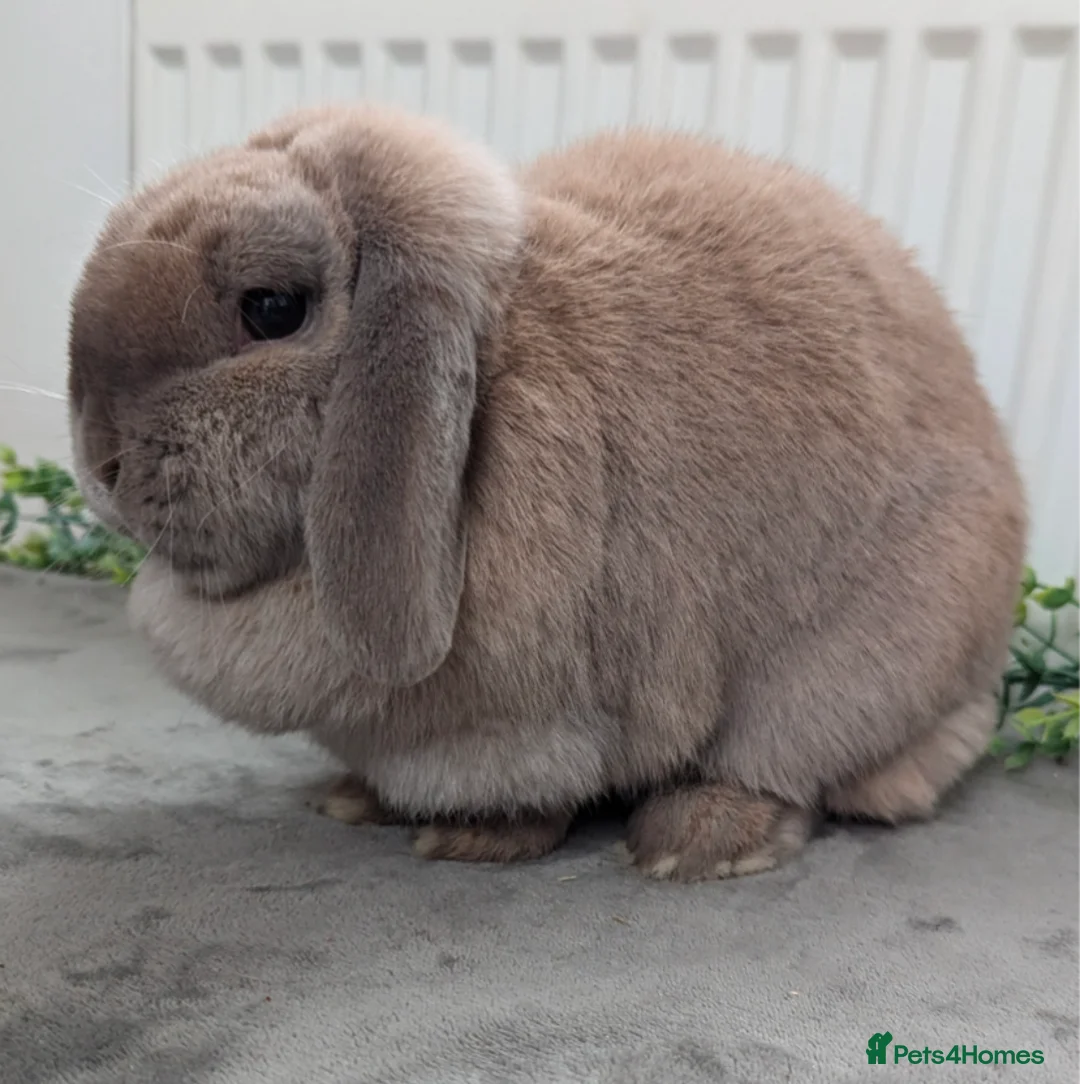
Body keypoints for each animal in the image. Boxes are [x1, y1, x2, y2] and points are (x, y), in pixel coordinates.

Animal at [67, 102, 1026, 881]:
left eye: (270, 308)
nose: (99, 462)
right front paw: (358, 798)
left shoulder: (548, 712)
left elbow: (543, 788)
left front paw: (471, 839)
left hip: (860, 665)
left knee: (814, 762)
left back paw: (694, 845)